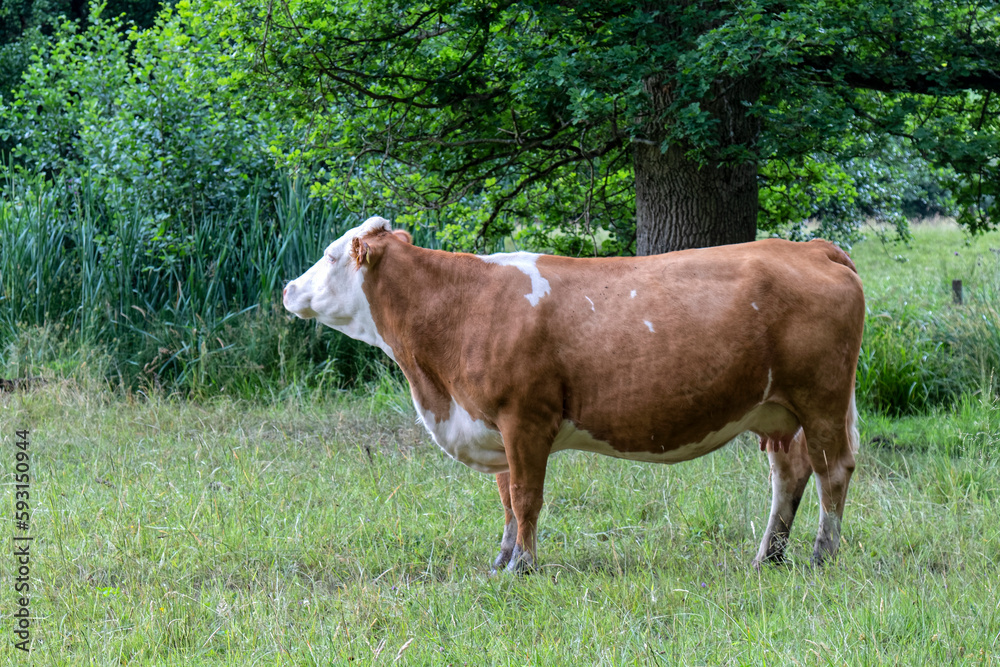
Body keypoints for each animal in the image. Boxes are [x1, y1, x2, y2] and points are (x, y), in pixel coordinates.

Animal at [283, 216, 865, 573]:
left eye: (331, 256)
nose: (288, 287)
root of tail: (812, 248)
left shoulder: (524, 418)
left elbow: (526, 497)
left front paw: (522, 567)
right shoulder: (493, 425)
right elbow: (506, 500)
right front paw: (501, 560)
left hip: (823, 399)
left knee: (833, 471)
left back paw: (823, 555)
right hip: (777, 410)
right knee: (790, 473)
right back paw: (769, 557)